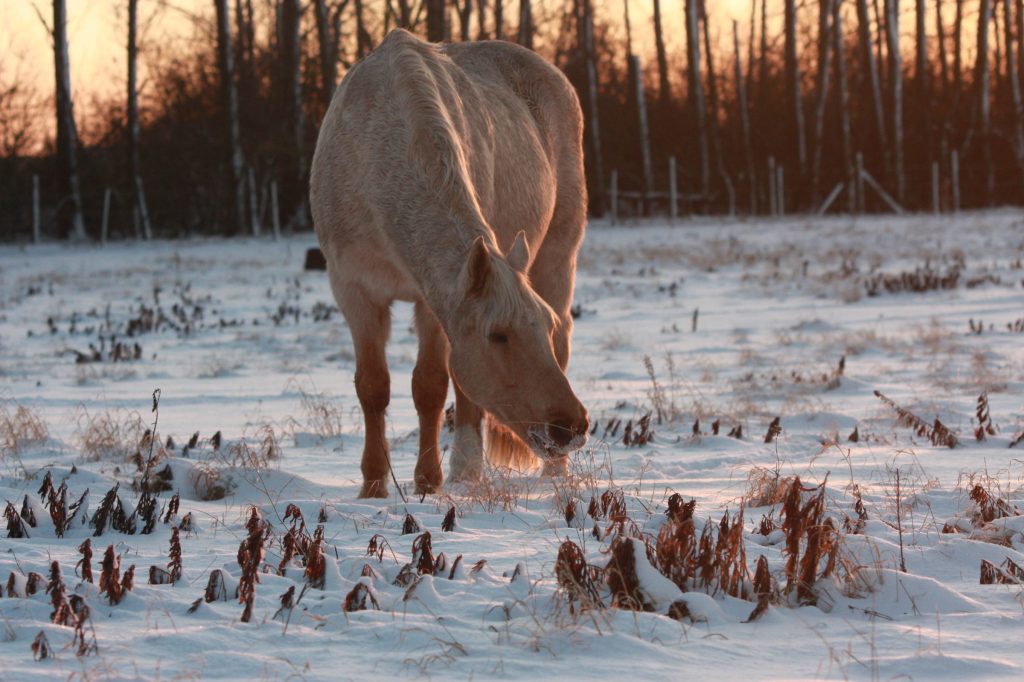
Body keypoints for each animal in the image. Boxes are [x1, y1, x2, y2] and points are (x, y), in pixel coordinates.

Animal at [310, 29, 589, 498]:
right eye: (498, 336)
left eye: (543, 329)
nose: (571, 427)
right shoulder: (354, 291)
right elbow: (373, 386)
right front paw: (373, 486)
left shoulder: (432, 300)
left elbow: (431, 387)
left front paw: (428, 482)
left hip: (558, 254)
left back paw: (524, 474)